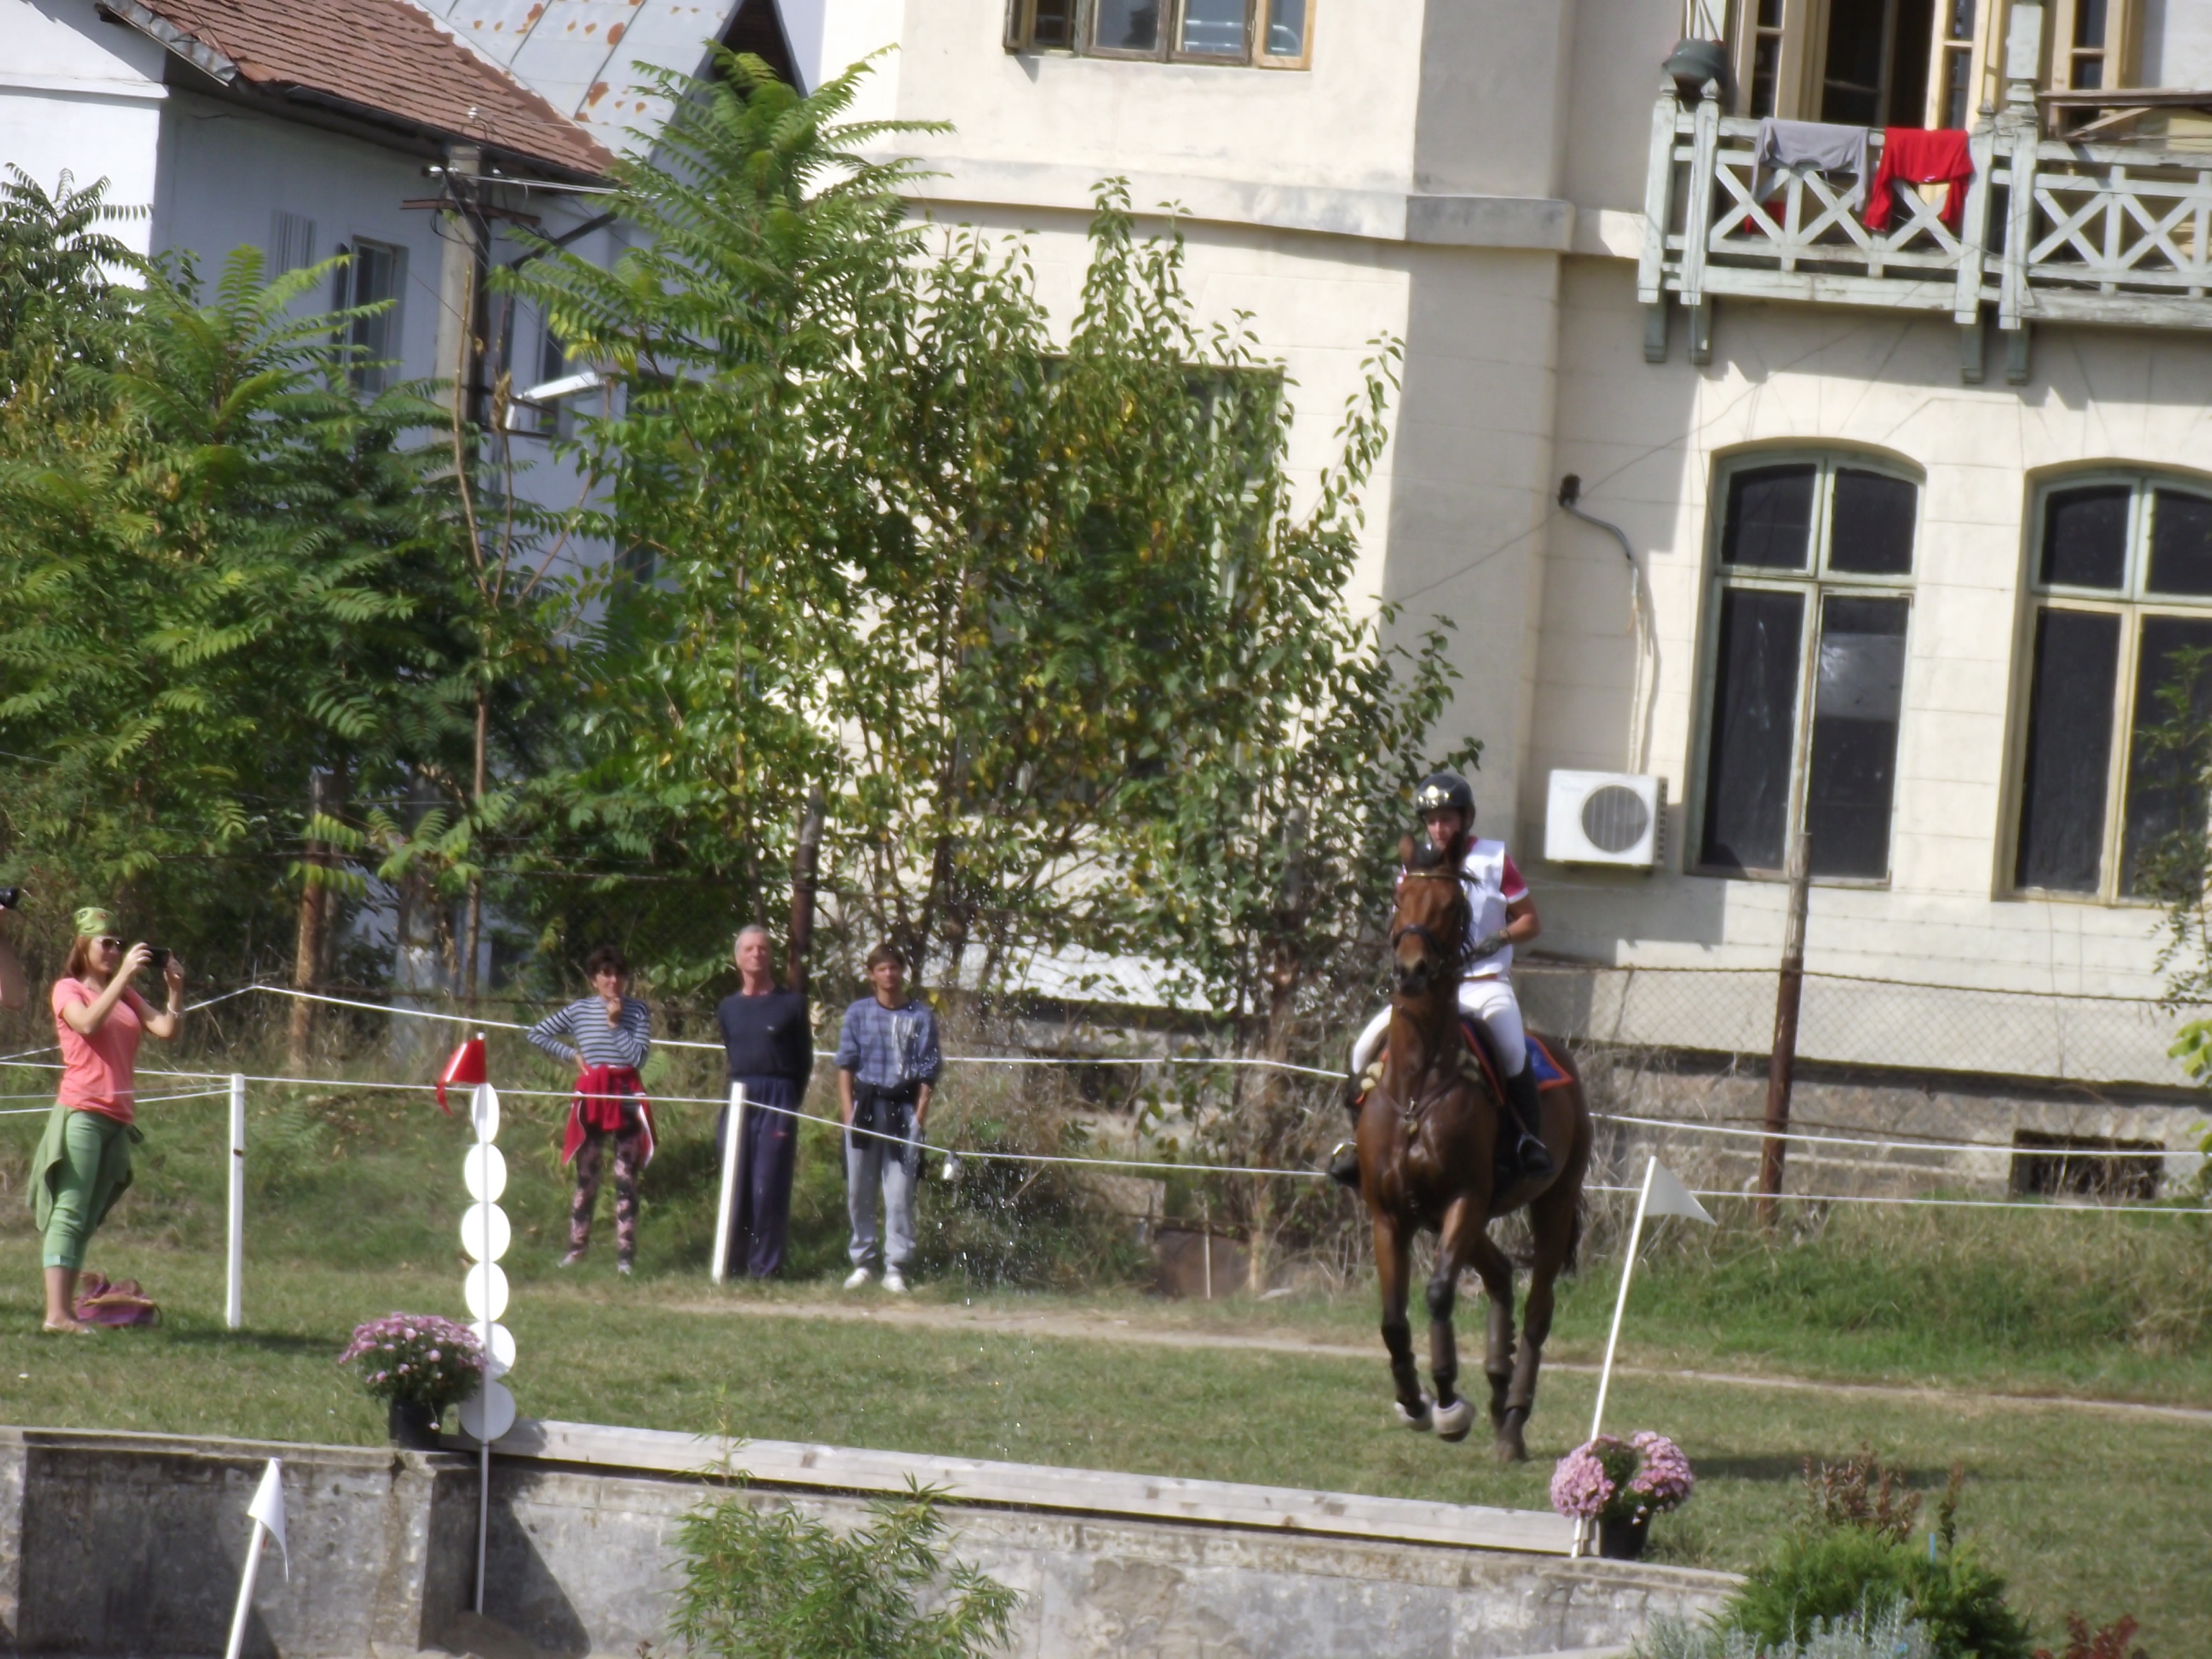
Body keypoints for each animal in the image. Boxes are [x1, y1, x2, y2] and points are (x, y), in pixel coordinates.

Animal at [1344, 827, 1592, 1451]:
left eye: (1453, 905)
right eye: (1400, 899)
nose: (1411, 970)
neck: (1416, 1087)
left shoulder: (1463, 1200)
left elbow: (1437, 1294)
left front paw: (1448, 1401)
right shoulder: (1391, 1213)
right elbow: (1393, 1318)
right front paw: (1413, 1401)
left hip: (1552, 1203)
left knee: (1539, 1305)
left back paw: (1515, 1416)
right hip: (1469, 1217)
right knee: (1502, 1275)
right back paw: (1500, 1393)